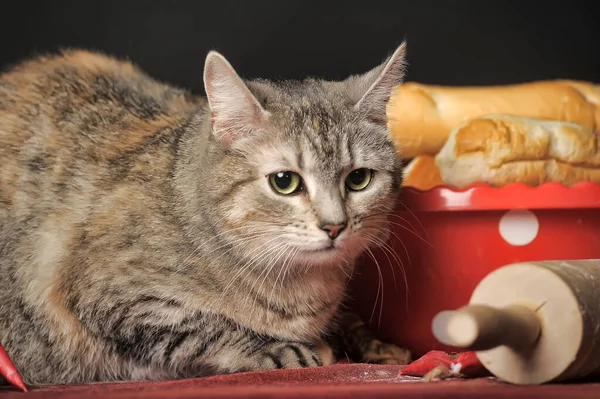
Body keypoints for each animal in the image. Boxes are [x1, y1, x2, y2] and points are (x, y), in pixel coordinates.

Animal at [0, 42, 410, 386]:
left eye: (358, 178)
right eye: (285, 182)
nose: (334, 225)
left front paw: (371, 342)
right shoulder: (107, 292)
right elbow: (205, 326)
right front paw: (276, 347)